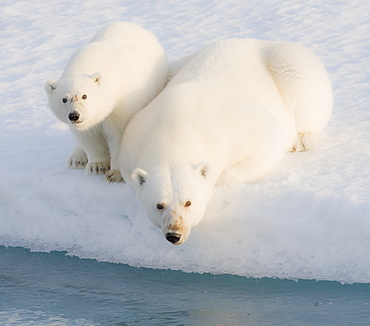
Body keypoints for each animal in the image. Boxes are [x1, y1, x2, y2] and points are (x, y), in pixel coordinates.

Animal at [44, 21, 168, 182]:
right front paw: (97, 166)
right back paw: (76, 158)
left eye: (85, 96)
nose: (74, 115)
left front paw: (115, 173)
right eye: (64, 99)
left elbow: (120, 136)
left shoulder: (122, 106)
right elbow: (89, 137)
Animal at [120, 38, 334, 244]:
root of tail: (255, 40)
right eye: (159, 205)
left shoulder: (235, 127)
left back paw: (302, 140)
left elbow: (267, 143)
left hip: (288, 63)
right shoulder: (133, 139)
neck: (174, 127)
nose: (174, 234)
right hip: (177, 67)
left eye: (188, 202)